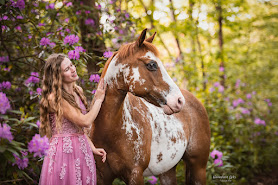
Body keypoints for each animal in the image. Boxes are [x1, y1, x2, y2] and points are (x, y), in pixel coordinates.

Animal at [90, 28, 210, 184]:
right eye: (151, 64)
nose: (179, 101)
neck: (110, 129)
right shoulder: (102, 176)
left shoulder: (135, 174)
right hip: (167, 171)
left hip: (198, 167)